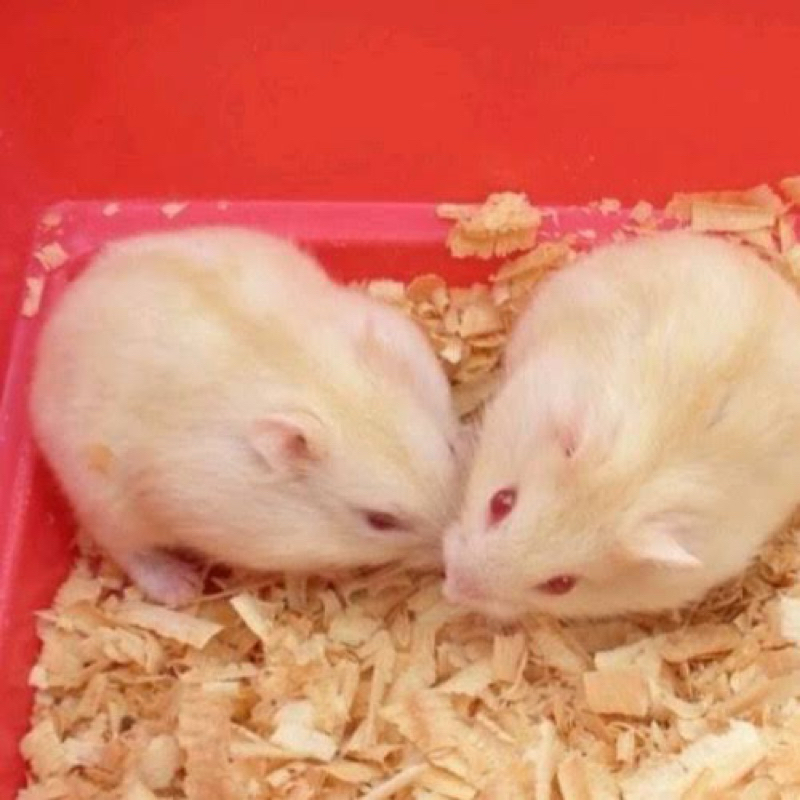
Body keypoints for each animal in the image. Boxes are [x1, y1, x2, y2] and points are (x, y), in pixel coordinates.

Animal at [30, 227, 460, 605]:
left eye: (453, 452)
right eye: (380, 521)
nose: (449, 562)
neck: (319, 386)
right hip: (102, 498)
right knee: (126, 548)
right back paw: (181, 588)